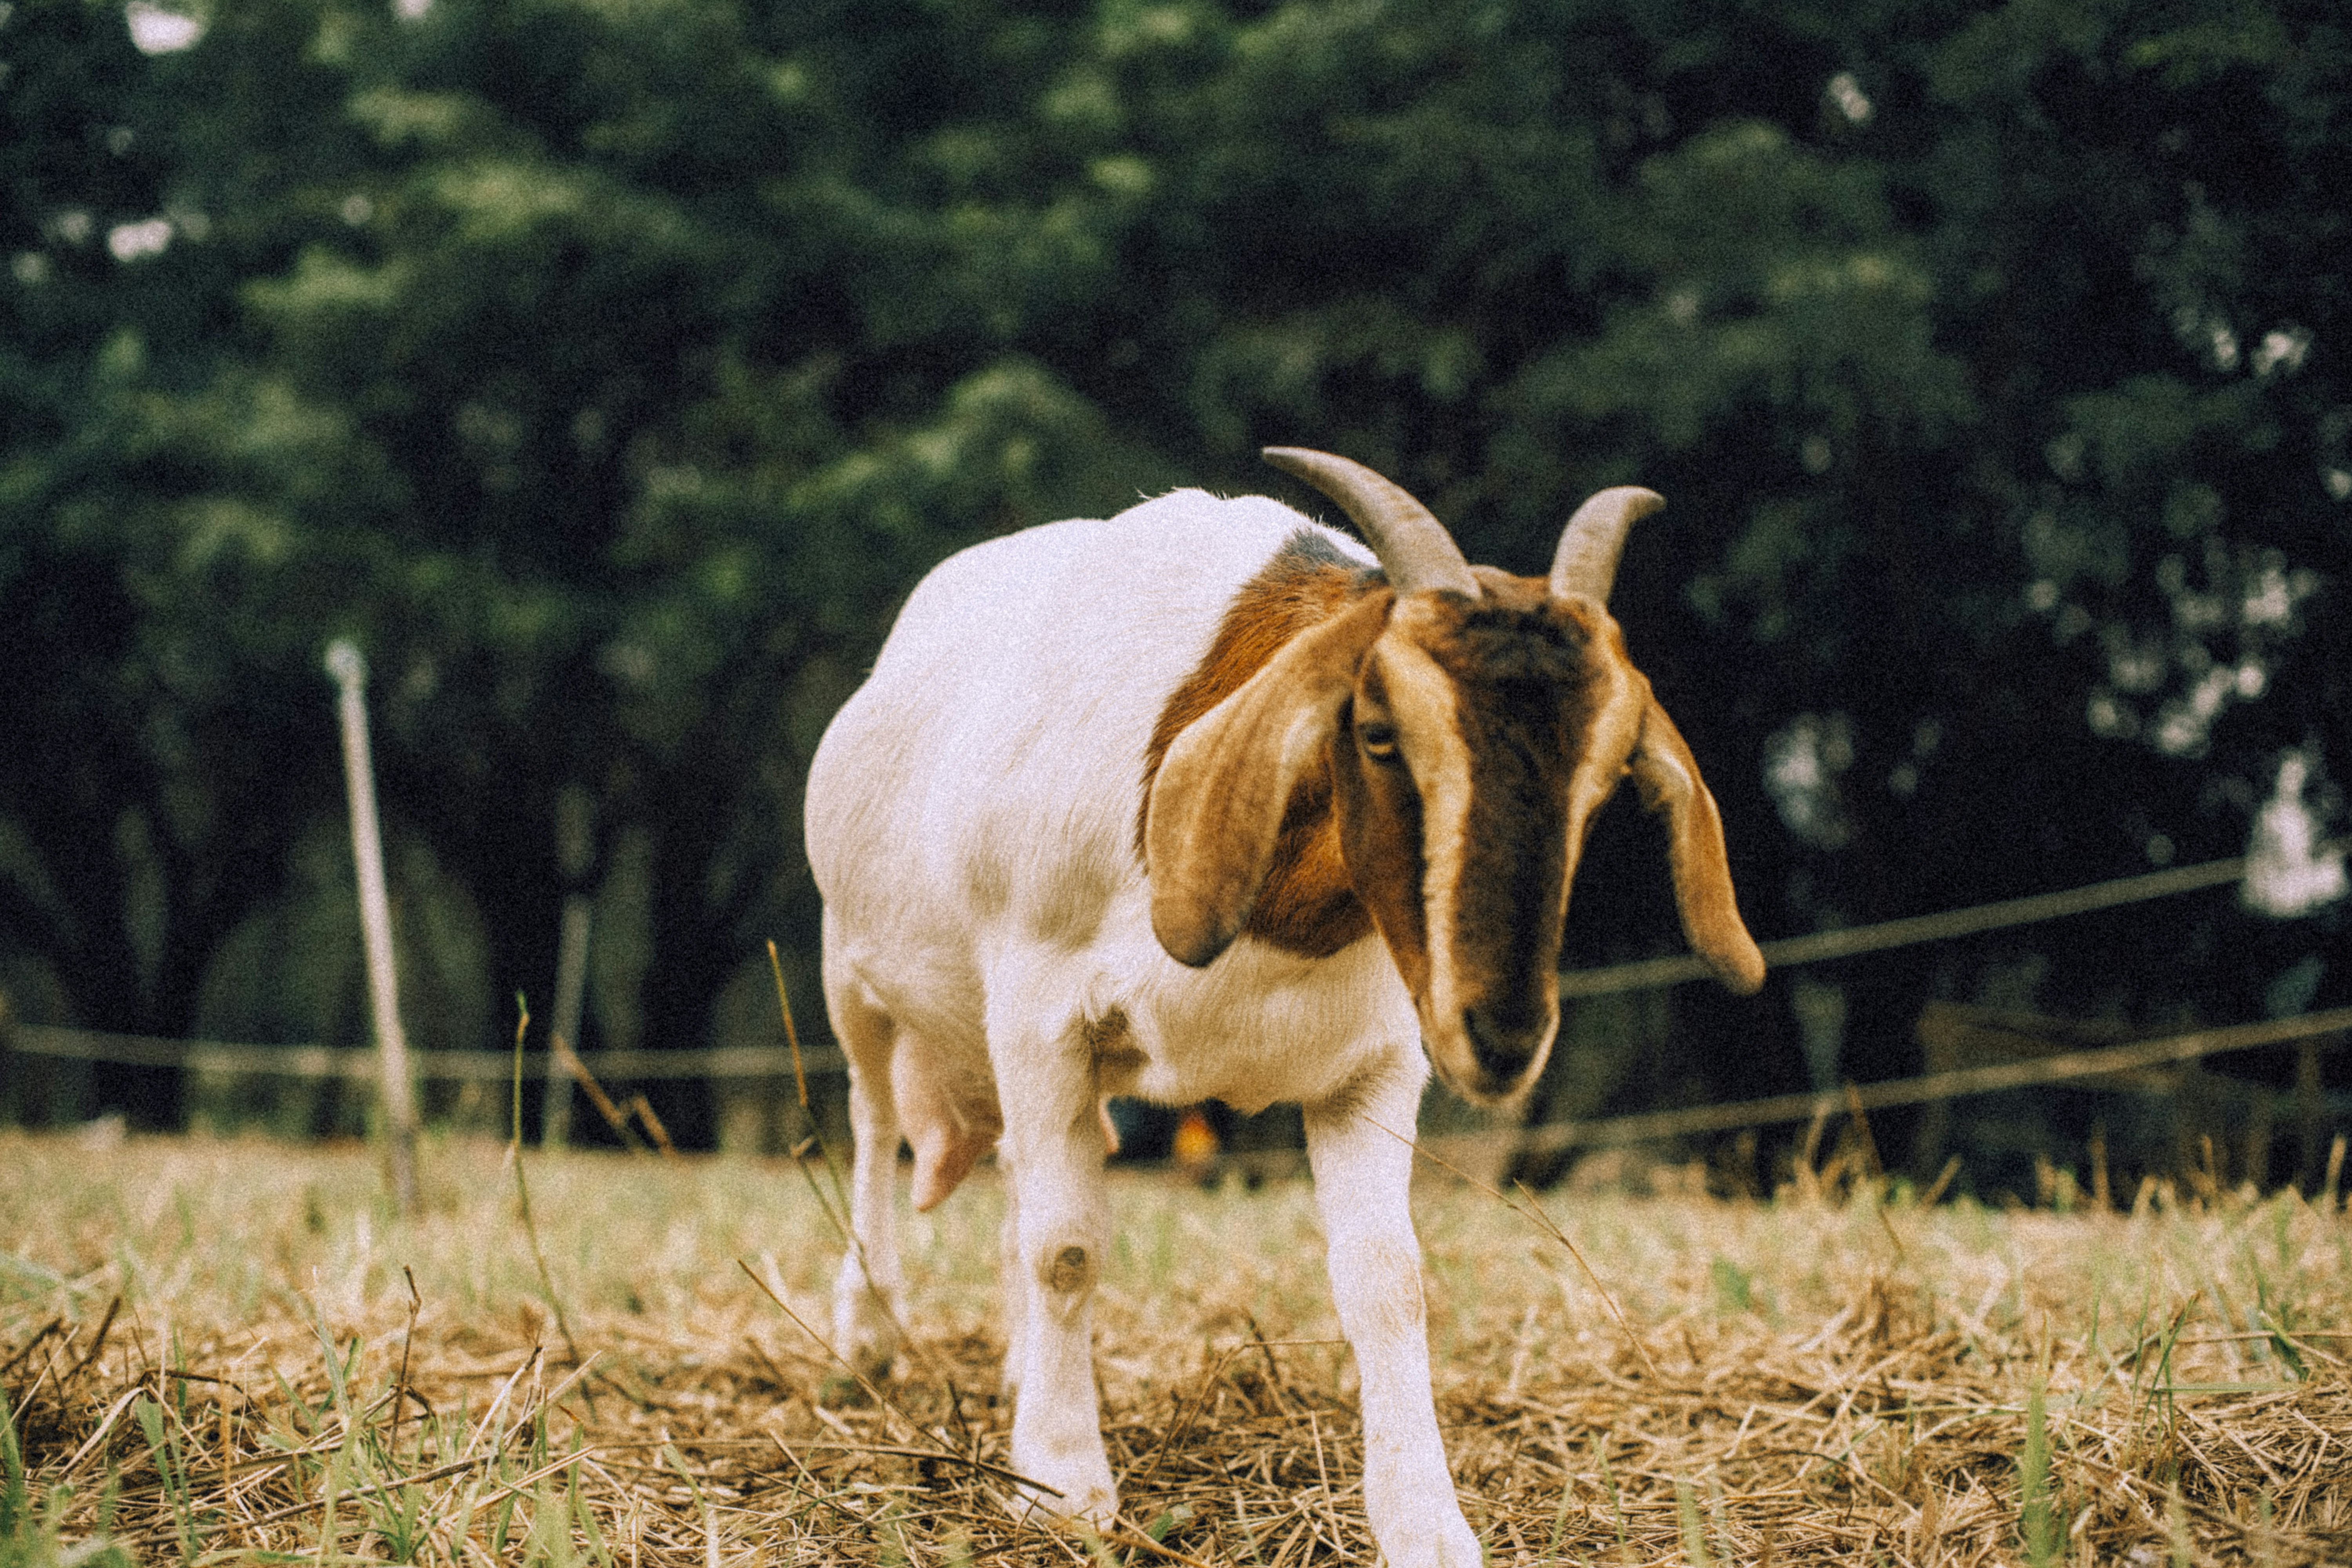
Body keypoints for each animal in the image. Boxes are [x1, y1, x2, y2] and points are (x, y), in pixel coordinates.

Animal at [803, 449, 1764, 1566]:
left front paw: (1425, 1520)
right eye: (1379, 734)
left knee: (1018, 1172)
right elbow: (1067, 1245)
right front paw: (1063, 1483)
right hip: (854, 973)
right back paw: (869, 1335)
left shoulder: (1377, 1057)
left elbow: (1388, 1277)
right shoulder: (1042, 1010)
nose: (1503, 1036)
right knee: (876, 1125)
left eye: (1606, 778)